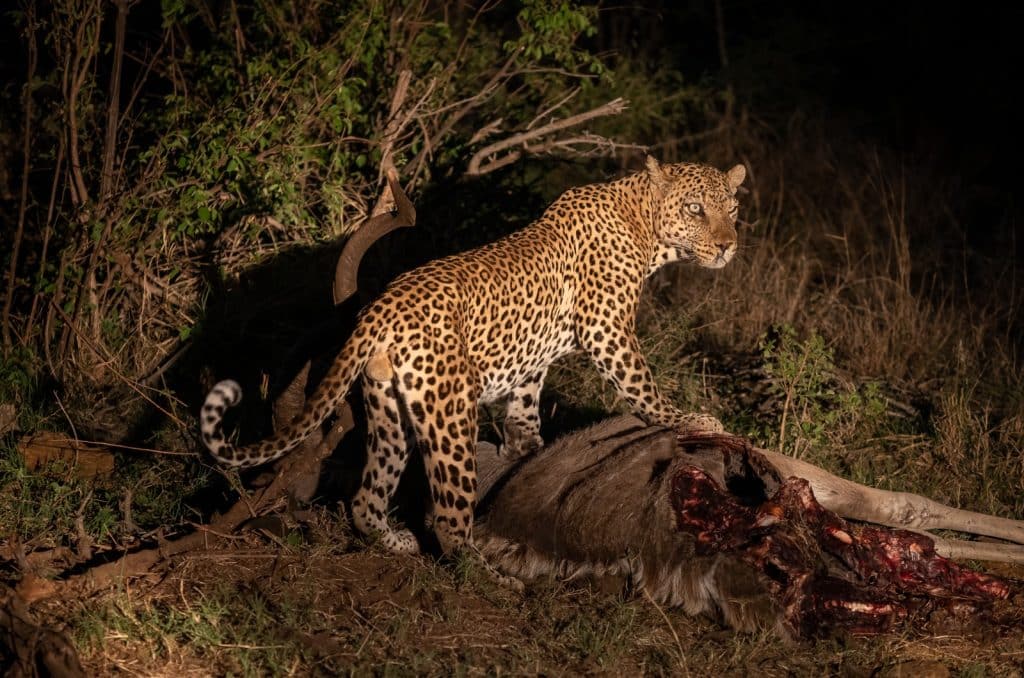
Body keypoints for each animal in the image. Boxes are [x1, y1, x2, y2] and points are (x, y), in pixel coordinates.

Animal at [199, 156, 745, 561]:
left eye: (733, 210)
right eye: (696, 208)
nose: (727, 246)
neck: (647, 231)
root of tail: (378, 308)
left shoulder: (534, 360)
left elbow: (525, 408)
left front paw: (527, 451)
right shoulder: (607, 329)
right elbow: (643, 387)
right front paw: (690, 418)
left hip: (390, 411)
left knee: (366, 497)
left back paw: (396, 541)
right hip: (451, 413)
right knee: (448, 518)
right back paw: (487, 573)